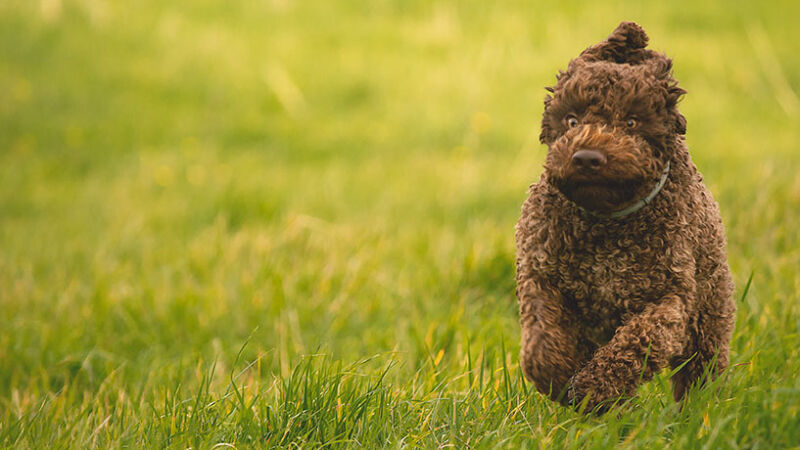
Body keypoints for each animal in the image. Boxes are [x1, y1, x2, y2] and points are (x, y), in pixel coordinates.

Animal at [516, 22, 736, 414]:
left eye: (631, 122)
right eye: (572, 120)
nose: (587, 157)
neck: (606, 222)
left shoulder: (668, 299)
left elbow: (636, 341)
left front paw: (595, 387)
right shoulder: (541, 277)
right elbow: (541, 343)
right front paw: (559, 378)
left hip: (708, 320)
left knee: (698, 374)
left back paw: (693, 416)